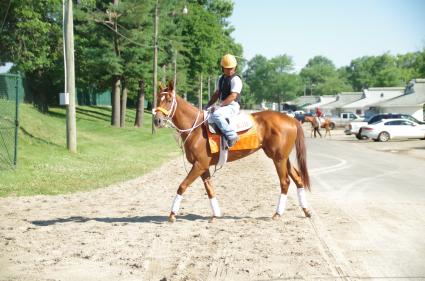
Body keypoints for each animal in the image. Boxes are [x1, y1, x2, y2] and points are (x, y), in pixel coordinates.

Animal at [154, 80, 310, 221]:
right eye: (157, 99)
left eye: (169, 100)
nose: (157, 121)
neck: (196, 128)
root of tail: (291, 119)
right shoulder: (203, 167)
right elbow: (210, 190)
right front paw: (215, 215)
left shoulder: (199, 165)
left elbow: (182, 186)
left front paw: (172, 215)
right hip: (283, 158)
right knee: (298, 179)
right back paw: (306, 210)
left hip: (278, 159)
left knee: (285, 182)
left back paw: (278, 213)